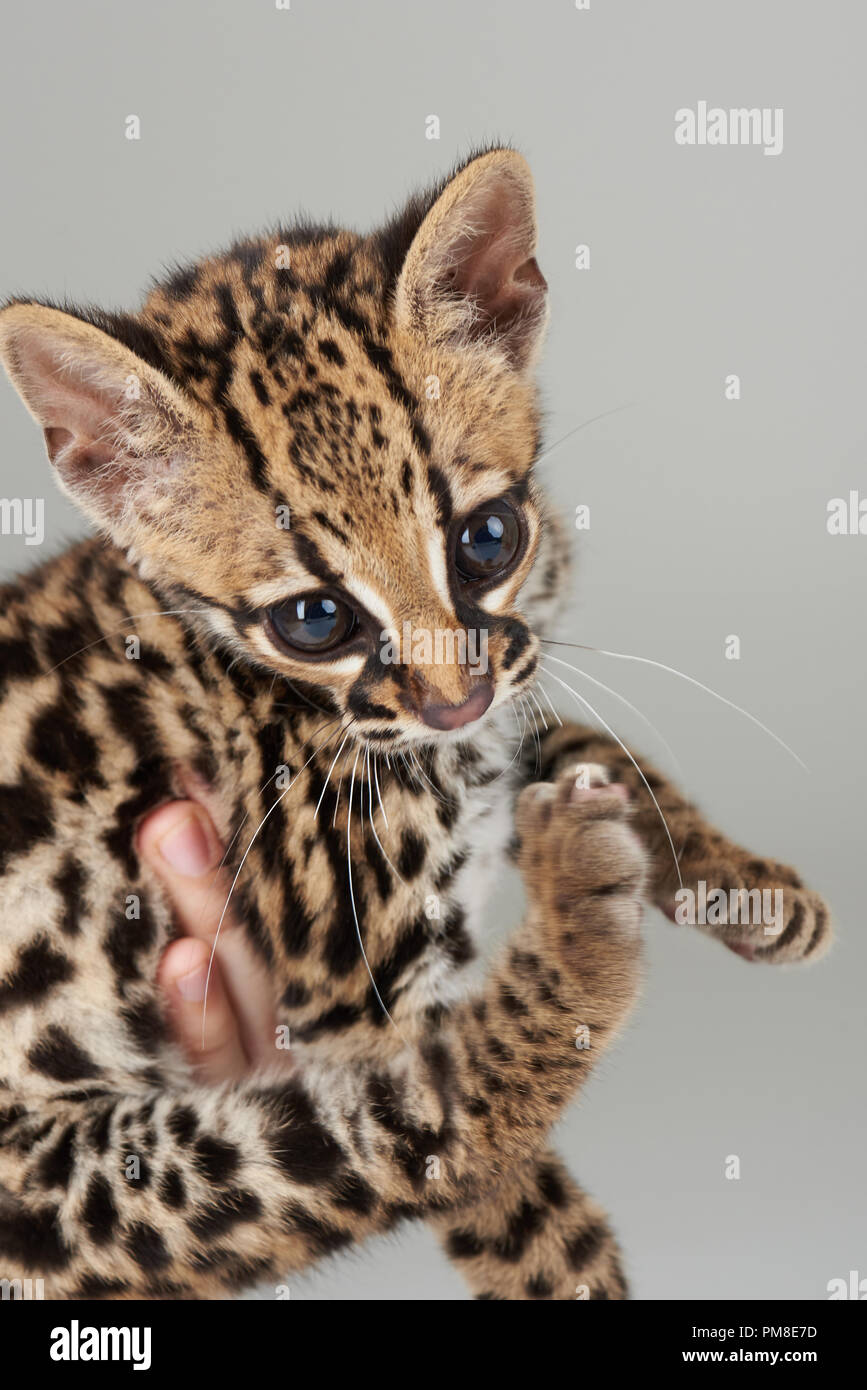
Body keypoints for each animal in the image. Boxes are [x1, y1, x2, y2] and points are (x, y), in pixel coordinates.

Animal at [0, 146, 828, 1295]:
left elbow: (573, 738)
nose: (451, 697)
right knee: (409, 1136)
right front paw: (576, 1279)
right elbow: (504, 1203)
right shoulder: (348, 984)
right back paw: (579, 924)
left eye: (487, 538)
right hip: (63, 1189)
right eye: (314, 617)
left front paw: (739, 883)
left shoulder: (499, 690)